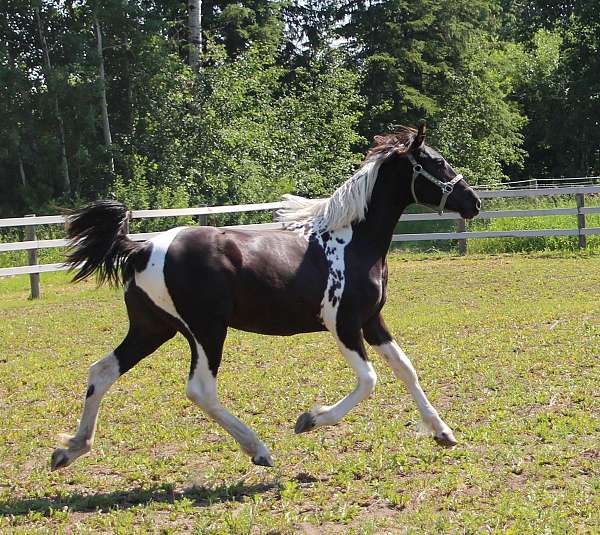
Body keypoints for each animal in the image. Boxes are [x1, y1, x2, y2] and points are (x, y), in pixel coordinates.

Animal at [51, 123, 482, 472]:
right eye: (437, 162)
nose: (474, 202)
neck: (353, 242)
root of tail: (141, 248)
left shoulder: (371, 320)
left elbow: (405, 369)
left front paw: (443, 432)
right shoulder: (342, 325)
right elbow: (369, 380)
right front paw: (309, 420)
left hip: (153, 328)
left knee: (102, 371)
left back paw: (70, 449)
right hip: (205, 331)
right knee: (200, 390)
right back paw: (258, 449)